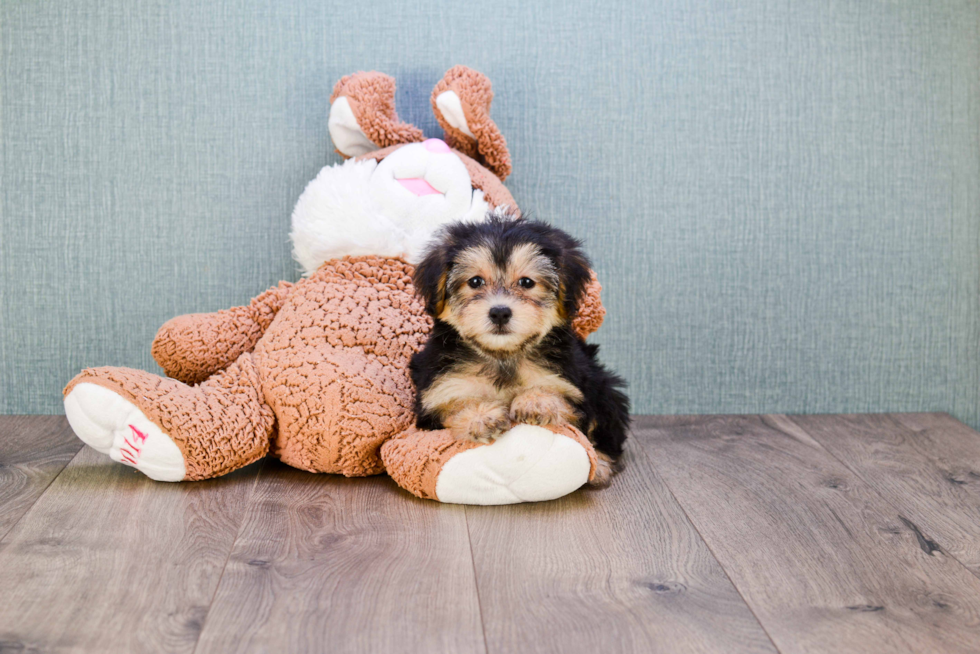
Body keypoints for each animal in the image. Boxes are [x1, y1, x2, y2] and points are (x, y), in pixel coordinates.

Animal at [410, 213, 632, 484]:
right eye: (475, 281)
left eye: (527, 282)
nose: (499, 312)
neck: (502, 356)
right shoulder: (437, 394)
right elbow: (452, 406)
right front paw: (481, 416)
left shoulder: (571, 386)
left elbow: (565, 404)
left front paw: (536, 401)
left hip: (602, 386)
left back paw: (599, 463)